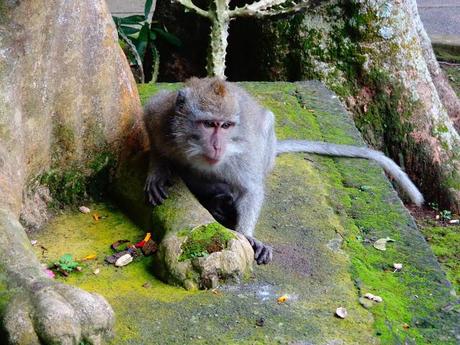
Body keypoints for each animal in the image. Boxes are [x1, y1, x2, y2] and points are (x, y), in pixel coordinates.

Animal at [144, 78, 424, 264]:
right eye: (208, 124)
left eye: (225, 126)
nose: (217, 146)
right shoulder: (163, 119)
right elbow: (149, 117)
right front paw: (157, 168)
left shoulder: (245, 154)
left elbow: (251, 190)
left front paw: (247, 236)